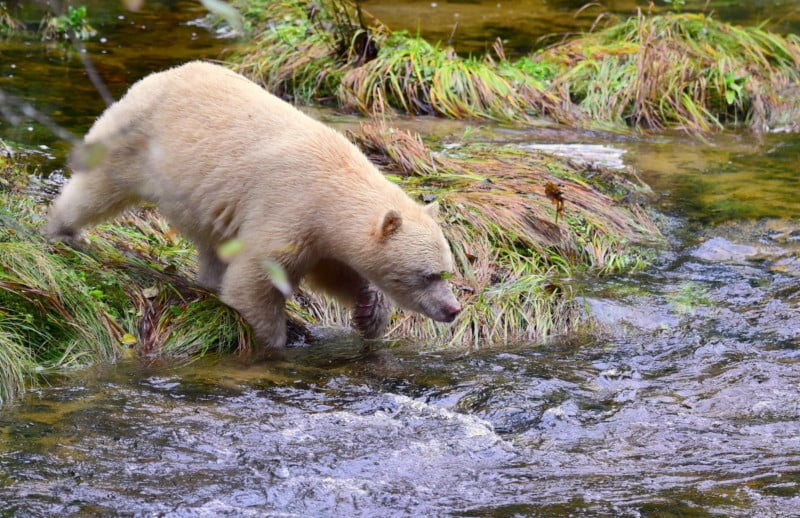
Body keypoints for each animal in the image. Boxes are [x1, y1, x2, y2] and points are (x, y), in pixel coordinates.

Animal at [48, 61, 462, 350]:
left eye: (448, 271)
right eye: (429, 275)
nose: (453, 309)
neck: (336, 182)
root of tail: (153, 77)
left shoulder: (319, 232)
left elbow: (334, 271)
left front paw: (369, 316)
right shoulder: (290, 205)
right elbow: (255, 280)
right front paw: (274, 341)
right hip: (138, 139)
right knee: (99, 187)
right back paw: (66, 230)